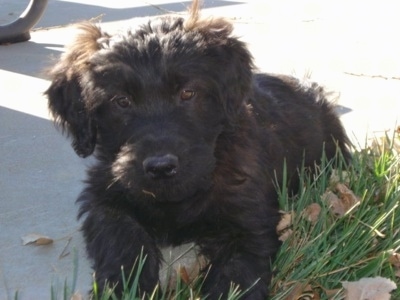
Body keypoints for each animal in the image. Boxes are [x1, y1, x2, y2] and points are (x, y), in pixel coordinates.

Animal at [44, 1, 350, 298]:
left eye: (188, 93)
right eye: (121, 101)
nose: (161, 167)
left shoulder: (246, 219)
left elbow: (234, 275)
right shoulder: (104, 193)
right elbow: (120, 237)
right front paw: (125, 286)